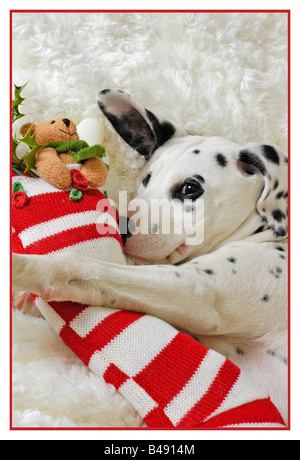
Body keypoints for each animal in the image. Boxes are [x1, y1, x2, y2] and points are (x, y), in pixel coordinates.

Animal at [12, 90, 288, 424]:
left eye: (190, 188)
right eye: (147, 179)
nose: (119, 225)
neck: (260, 233)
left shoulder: (195, 292)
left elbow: (84, 267)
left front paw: (22, 267)